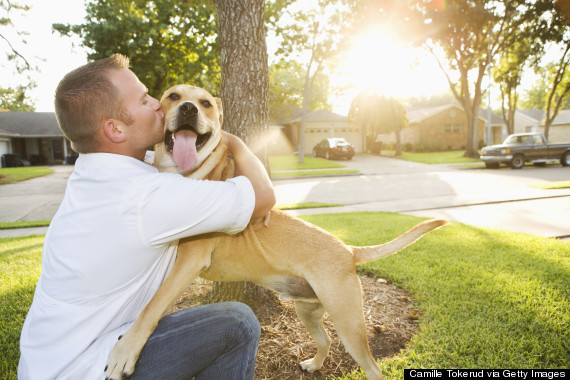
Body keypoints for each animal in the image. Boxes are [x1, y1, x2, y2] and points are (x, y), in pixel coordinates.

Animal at [104, 85, 446, 380]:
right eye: (173, 96)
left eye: (206, 103)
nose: (188, 108)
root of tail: (348, 250)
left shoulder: (188, 260)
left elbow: (152, 306)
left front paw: (124, 351)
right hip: (307, 310)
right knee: (325, 340)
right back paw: (313, 365)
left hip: (348, 321)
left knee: (372, 367)